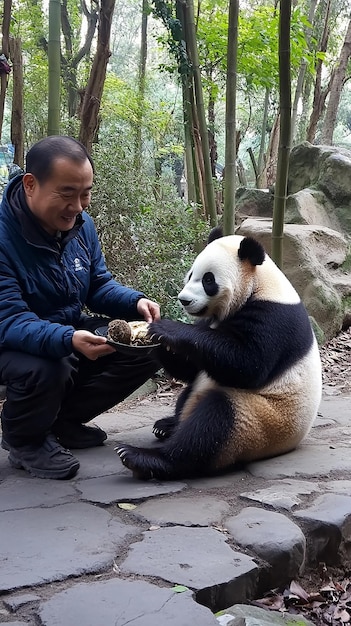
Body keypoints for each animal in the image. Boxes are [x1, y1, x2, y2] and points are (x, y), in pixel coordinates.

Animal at [117, 232, 324, 480]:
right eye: (190, 275)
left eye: (208, 280)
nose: (184, 300)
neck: (259, 286)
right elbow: (192, 367)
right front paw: (152, 333)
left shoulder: (274, 318)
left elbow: (248, 365)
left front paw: (167, 329)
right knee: (190, 397)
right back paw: (167, 425)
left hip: (264, 422)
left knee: (214, 424)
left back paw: (143, 457)